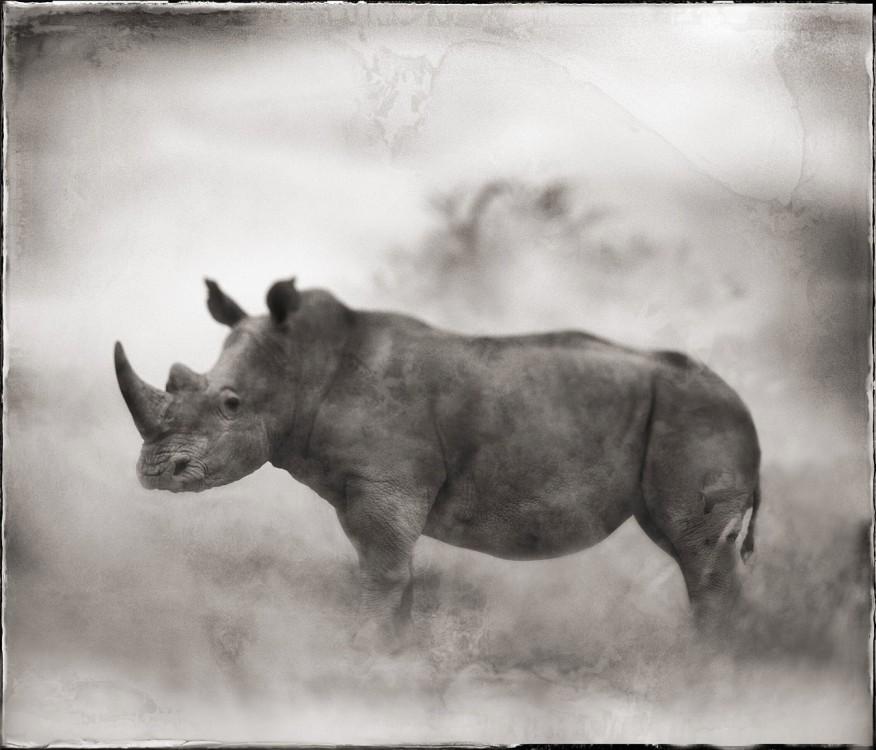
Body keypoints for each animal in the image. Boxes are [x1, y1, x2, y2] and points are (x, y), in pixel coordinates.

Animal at [114, 280, 760, 644]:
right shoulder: (366, 487)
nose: (155, 473)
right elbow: (393, 573)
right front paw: (397, 658)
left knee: (697, 554)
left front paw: (361, 655)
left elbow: (382, 572)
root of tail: (742, 402)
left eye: (230, 405)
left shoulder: (385, 481)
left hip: (698, 417)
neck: (305, 363)